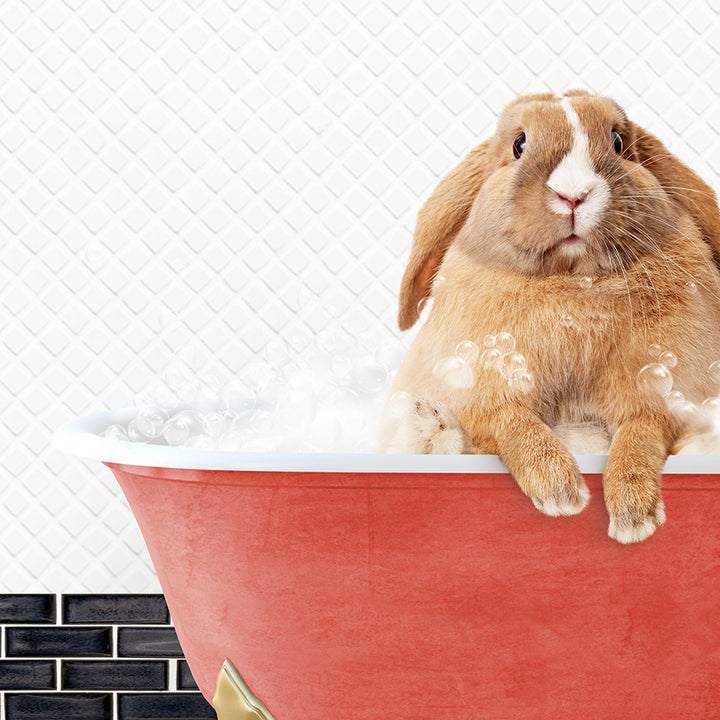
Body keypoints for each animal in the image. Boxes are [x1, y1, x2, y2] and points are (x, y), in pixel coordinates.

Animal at [382, 87, 720, 544]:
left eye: (618, 142)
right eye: (519, 145)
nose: (573, 195)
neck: (572, 283)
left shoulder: (660, 391)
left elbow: (640, 434)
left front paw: (633, 517)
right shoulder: (484, 384)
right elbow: (512, 421)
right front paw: (561, 492)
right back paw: (430, 424)